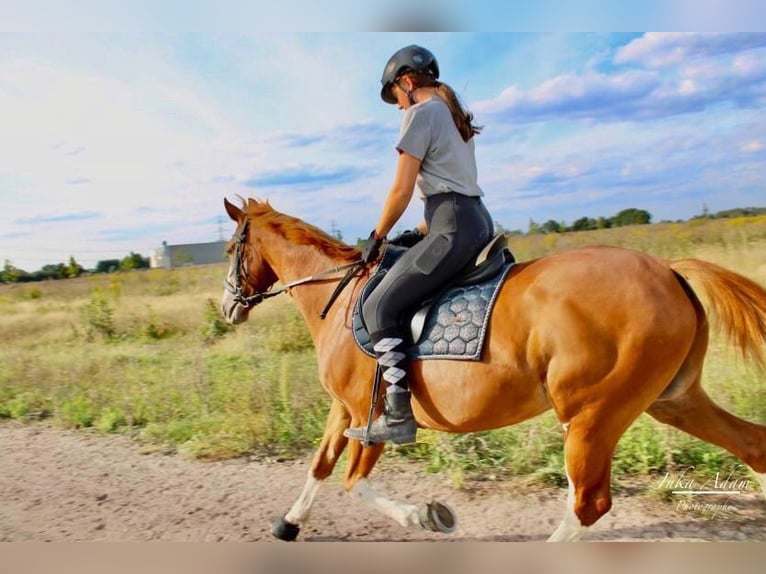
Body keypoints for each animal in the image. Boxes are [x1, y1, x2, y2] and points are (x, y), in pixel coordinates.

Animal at [220, 196, 766, 544]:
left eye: (229, 250)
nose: (228, 307)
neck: (338, 297)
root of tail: (670, 270)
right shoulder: (343, 410)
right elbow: (320, 466)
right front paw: (289, 523)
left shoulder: (368, 416)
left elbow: (355, 482)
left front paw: (428, 516)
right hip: (673, 401)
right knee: (752, 446)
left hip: (593, 416)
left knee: (588, 504)